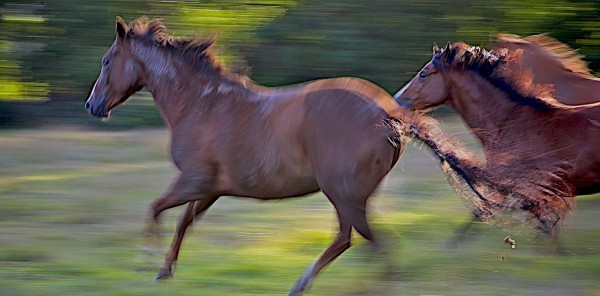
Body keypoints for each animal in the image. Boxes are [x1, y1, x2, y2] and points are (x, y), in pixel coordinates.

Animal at [85, 16, 478, 296]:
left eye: (106, 61)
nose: (92, 106)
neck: (201, 104)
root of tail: (389, 114)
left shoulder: (193, 180)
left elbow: (155, 208)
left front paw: (144, 263)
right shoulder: (209, 188)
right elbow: (183, 222)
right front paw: (164, 270)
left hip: (342, 193)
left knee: (368, 242)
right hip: (348, 195)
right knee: (352, 240)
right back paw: (303, 284)